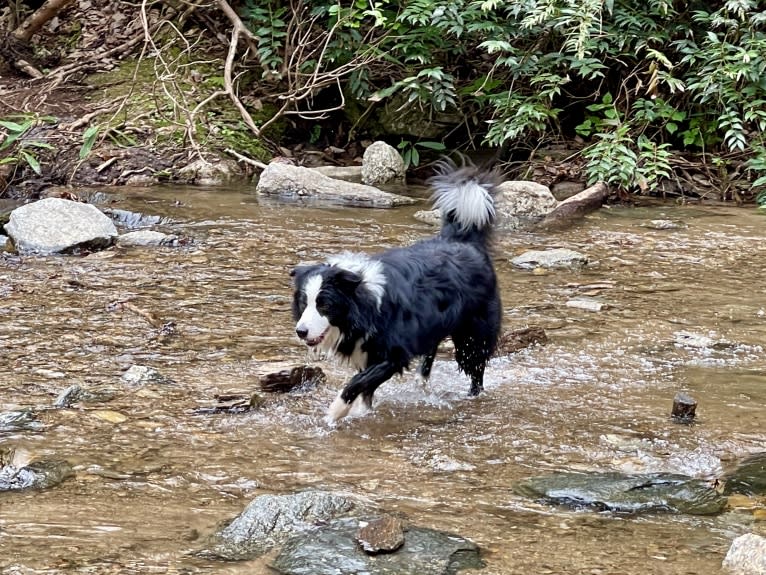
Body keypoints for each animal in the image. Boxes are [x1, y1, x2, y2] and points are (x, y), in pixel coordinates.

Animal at [290, 159, 504, 424]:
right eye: (303, 303)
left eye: (325, 305)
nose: (300, 331)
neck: (364, 307)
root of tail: (462, 240)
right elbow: (365, 388)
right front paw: (362, 412)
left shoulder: (394, 354)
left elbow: (357, 382)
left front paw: (336, 411)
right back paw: (422, 383)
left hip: (473, 334)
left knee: (476, 369)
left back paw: (473, 397)